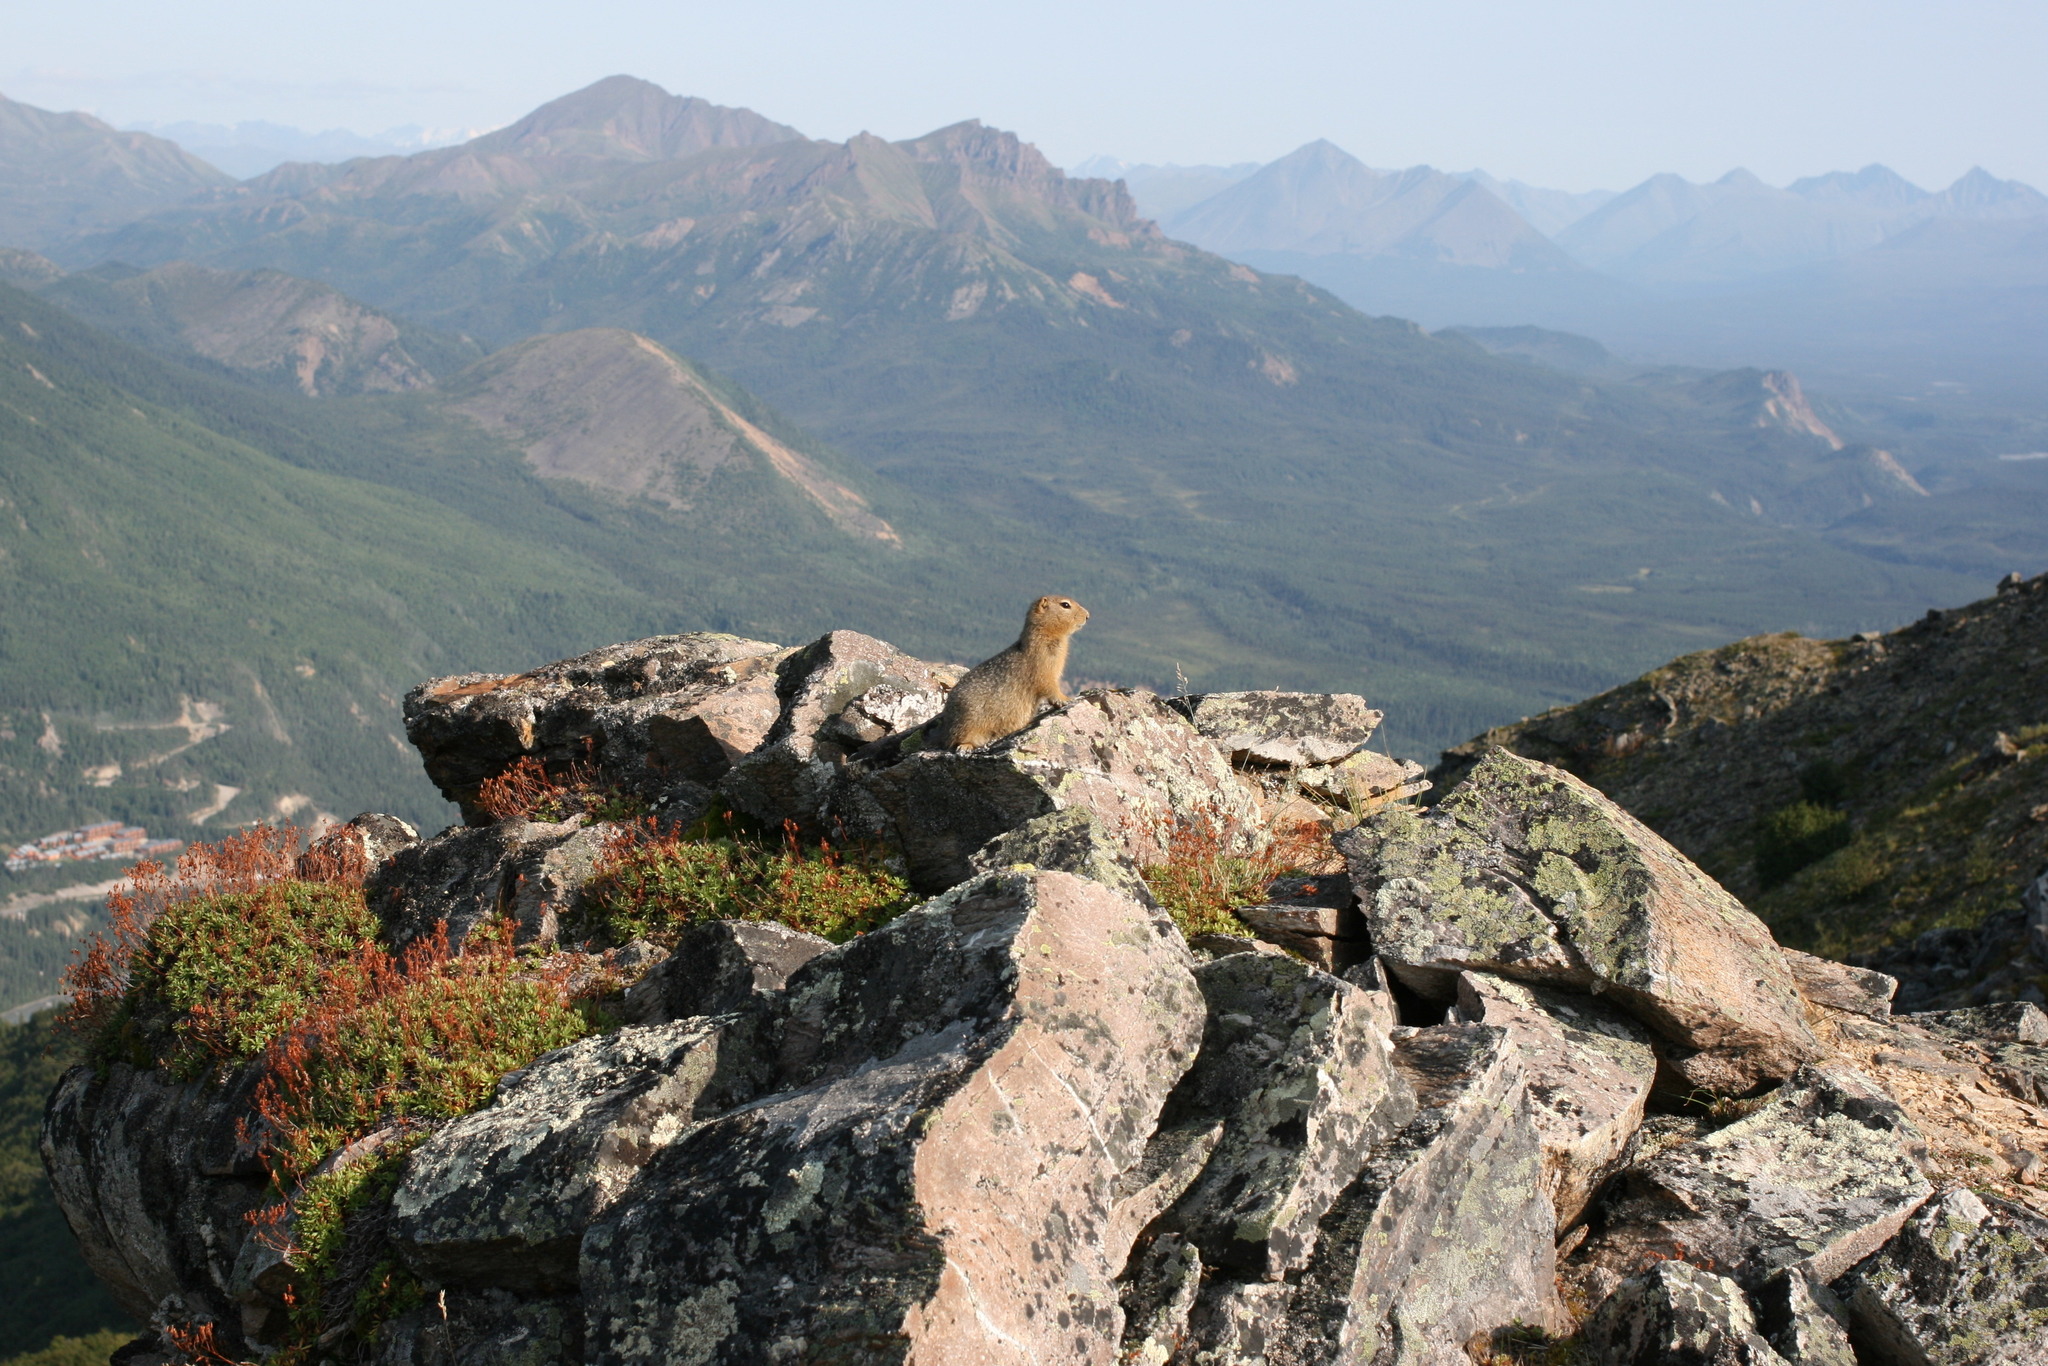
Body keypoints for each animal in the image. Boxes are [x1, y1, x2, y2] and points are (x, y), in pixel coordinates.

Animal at [929, 593, 1089, 749]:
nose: (1088, 615)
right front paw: (1066, 698)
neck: (1046, 635)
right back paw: (965, 746)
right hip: (967, 721)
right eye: (1065, 605)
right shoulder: (1043, 666)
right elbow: (1049, 685)